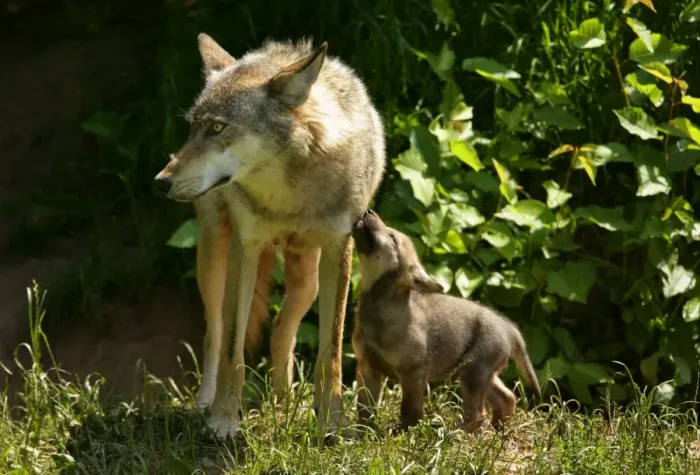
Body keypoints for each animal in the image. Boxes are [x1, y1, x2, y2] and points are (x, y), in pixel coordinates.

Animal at [153, 34, 386, 438]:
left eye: (218, 128)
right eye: (193, 128)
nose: (160, 182)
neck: (288, 196)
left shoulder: (340, 249)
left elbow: (331, 351)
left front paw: (330, 422)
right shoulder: (245, 248)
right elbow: (233, 350)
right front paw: (223, 420)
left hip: (308, 280)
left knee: (280, 331)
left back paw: (283, 405)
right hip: (213, 262)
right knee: (215, 333)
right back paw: (206, 404)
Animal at [351, 210, 541, 432]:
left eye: (392, 237)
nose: (369, 211)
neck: (379, 308)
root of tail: (511, 329)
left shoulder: (413, 374)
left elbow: (410, 410)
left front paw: (404, 434)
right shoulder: (367, 367)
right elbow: (365, 409)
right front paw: (362, 433)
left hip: (473, 374)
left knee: (477, 415)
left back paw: (457, 435)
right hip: (478, 373)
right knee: (506, 399)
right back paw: (498, 431)